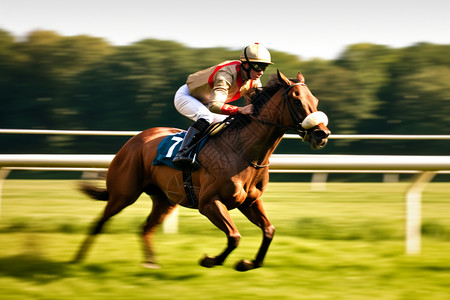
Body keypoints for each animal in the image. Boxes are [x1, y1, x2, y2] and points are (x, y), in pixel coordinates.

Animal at [73, 70, 330, 272]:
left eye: (315, 99)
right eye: (297, 101)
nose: (322, 134)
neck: (244, 151)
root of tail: (134, 140)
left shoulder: (250, 201)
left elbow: (269, 231)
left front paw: (247, 263)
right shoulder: (209, 202)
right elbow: (234, 237)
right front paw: (210, 260)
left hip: (165, 200)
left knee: (145, 228)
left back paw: (150, 263)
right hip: (124, 193)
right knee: (99, 223)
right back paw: (77, 259)